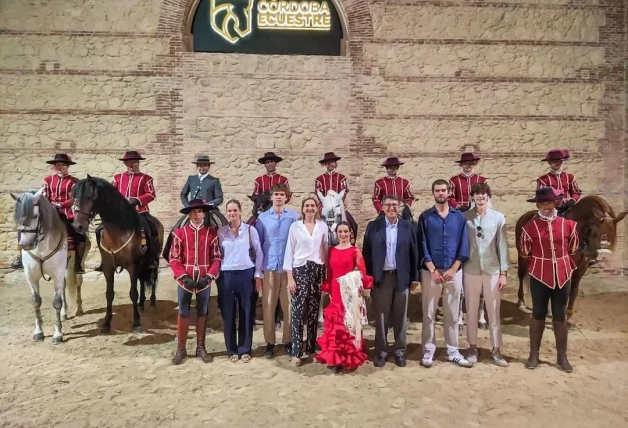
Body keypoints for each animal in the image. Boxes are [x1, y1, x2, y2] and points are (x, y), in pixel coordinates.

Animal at [11, 189, 85, 342]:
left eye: (35, 215)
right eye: (17, 216)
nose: (26, 244)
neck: (41, 248)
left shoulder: (57, 274)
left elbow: (56, 302)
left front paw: (58, 334)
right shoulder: (31, 277)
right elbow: (36, 301)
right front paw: (38, 331)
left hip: (77, 265)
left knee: (78, 282)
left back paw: (79, 309)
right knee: (64, 287)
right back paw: (64, 313)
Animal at [71, 175, 164, 334]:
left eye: (90, 197)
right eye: (75, 197)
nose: (78, 226)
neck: (119, 230)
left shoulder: (132, 266)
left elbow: (133, 293)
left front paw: (137, 322)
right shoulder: (108, 268)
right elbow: (109, 294)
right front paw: (106, 323)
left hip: (154, 259)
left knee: (153, 276)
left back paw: (151, 301)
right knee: (142, 280)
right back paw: (141, 303)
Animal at [516, 195, 624, 324]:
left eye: (612, 236)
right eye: (595, 233)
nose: (591, 253)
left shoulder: (581, 268)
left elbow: (573, 292)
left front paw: (569, 318)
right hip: (523, 259)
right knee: (521, 277)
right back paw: (521, 303)